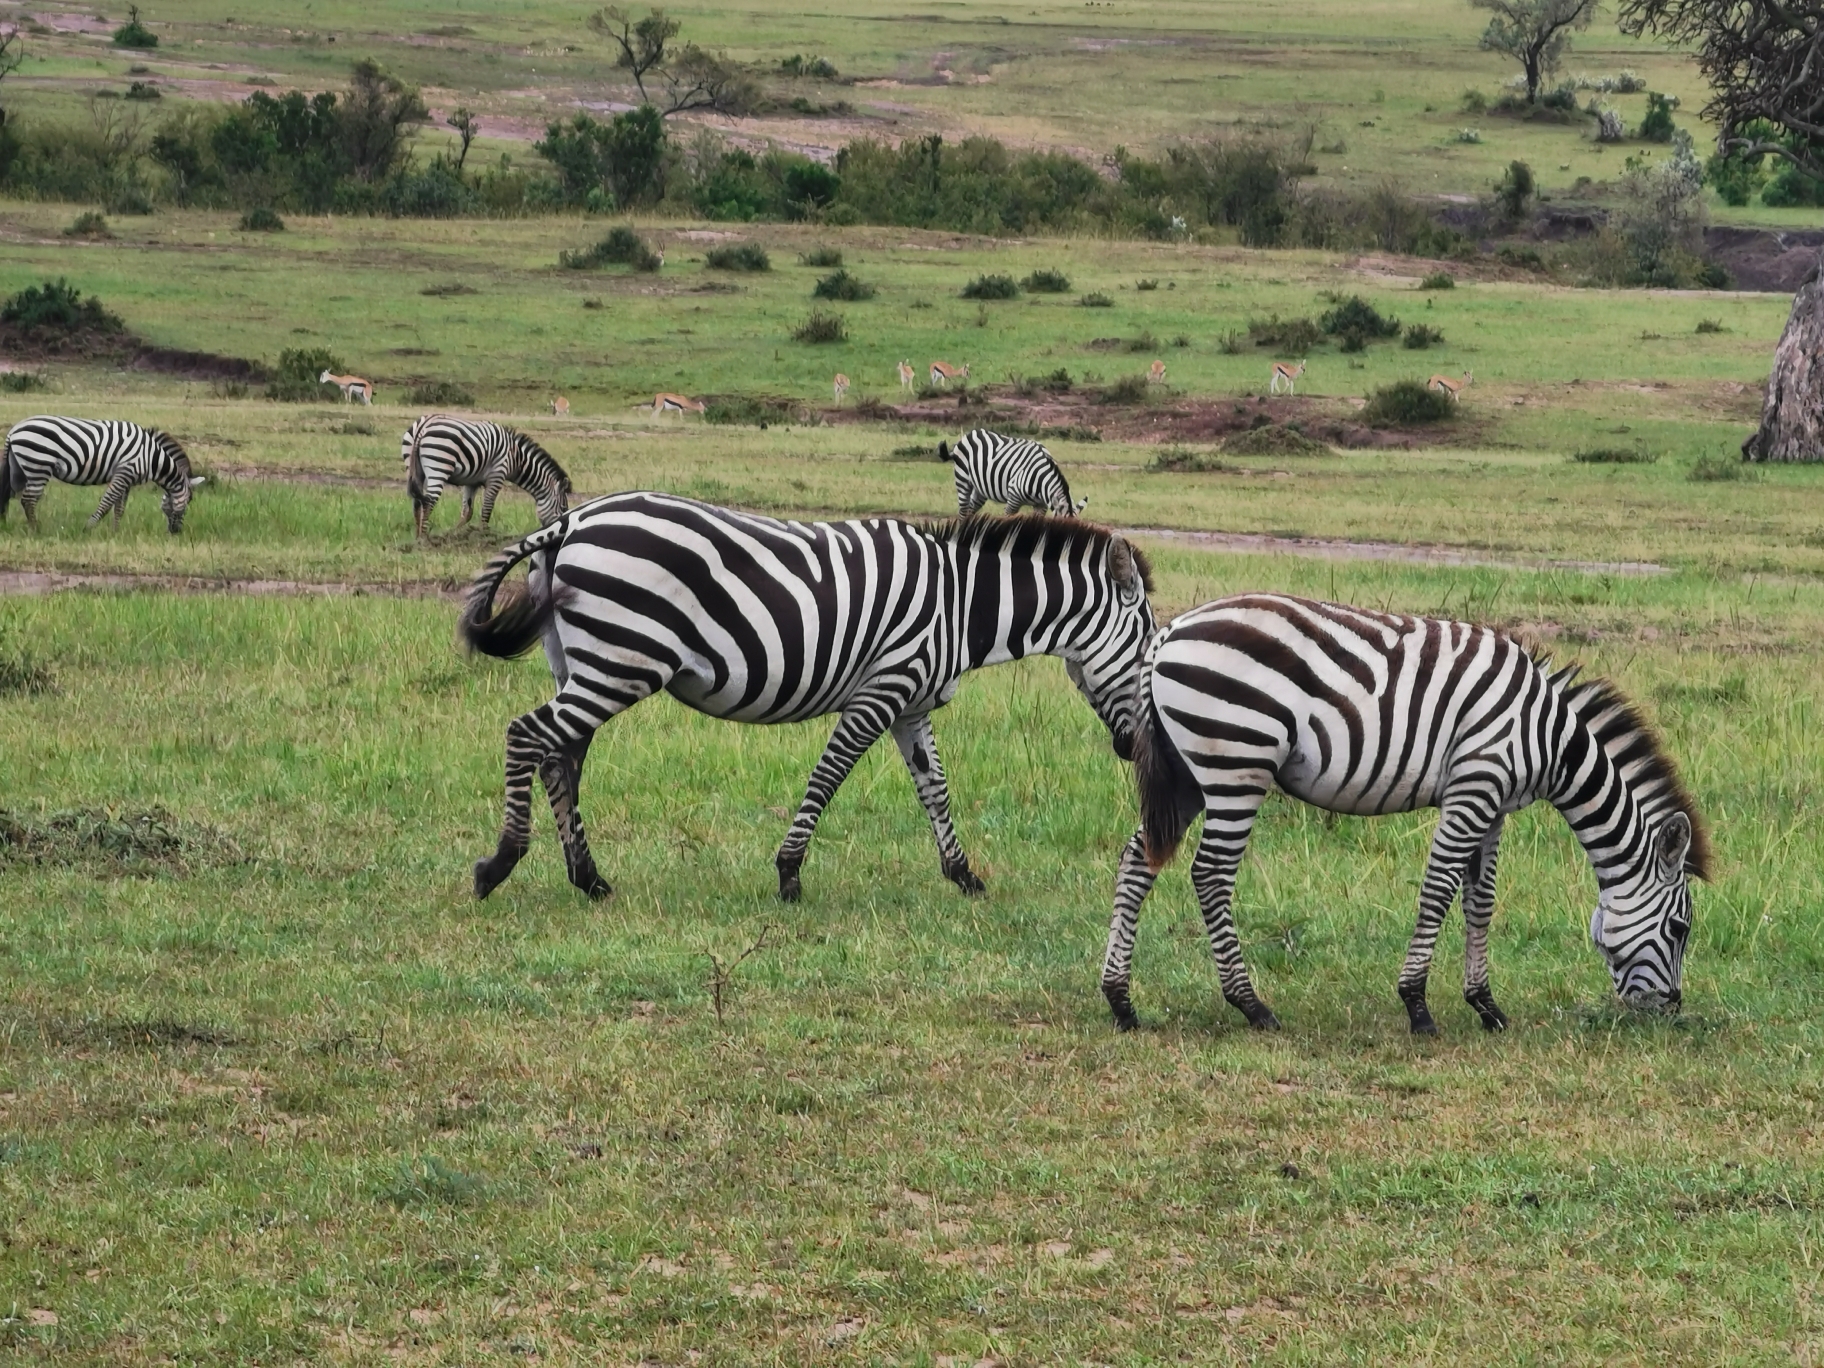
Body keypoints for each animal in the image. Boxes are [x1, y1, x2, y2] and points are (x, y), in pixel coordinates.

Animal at [3, 415, 207, 532]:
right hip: (39, 465)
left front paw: (115, 532)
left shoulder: (127, 479)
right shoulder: (124, 471)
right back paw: (36, 529)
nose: (176, 532)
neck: (152, 457)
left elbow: (119, 507)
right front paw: (88, 528)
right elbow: (107, 501)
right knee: (28, 499)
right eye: (190, 500)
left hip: (19, 469)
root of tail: (14, 430)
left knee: (10, 494)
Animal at [401, 415, 565, 543]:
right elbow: (487, 507)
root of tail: (424, 424)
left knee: (417, 502)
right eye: (563, 509)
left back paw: (417, 537)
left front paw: (454, 534)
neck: (516, 458)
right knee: (428, 501)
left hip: (414, 468)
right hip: (439, 467)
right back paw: (424, 539)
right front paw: (484, 536)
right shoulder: (497, 476)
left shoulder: (471, 482)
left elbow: (467, 512)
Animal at [456, 496, 1152, 912]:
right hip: (620, 664)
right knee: (528, 736)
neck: (962, 605)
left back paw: (590, 879)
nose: (1134, 749)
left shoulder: (912, 703)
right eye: (1148, 646)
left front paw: (963, 874)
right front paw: (789, 873)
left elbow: (935, 789)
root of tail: (570, 521)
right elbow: (830, 774)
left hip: (587, 665)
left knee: (560, 758)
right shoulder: (883, 689)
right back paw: (499, 865)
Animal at [948, 428, 1087, 518]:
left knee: (970, 510)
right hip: (962, 479)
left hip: (980, 488)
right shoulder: (1013, 501)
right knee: (962, 511)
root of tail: (970, 433)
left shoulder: (1041, 506)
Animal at [1094, 594, 1707, 1036]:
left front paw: (1486, 1006)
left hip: (1186, 772)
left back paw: (1121, 1002)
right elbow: (1437, 892)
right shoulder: (1474, 787)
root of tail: (1168, 633)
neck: (1550, 739)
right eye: (1679, 929)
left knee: (1138, 860)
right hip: (1237, 763)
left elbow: (1480, 902)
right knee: (1211, 874)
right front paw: (1417, 1006)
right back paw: (1251, 1005)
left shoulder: (1495, 806)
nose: (1671, 1010)